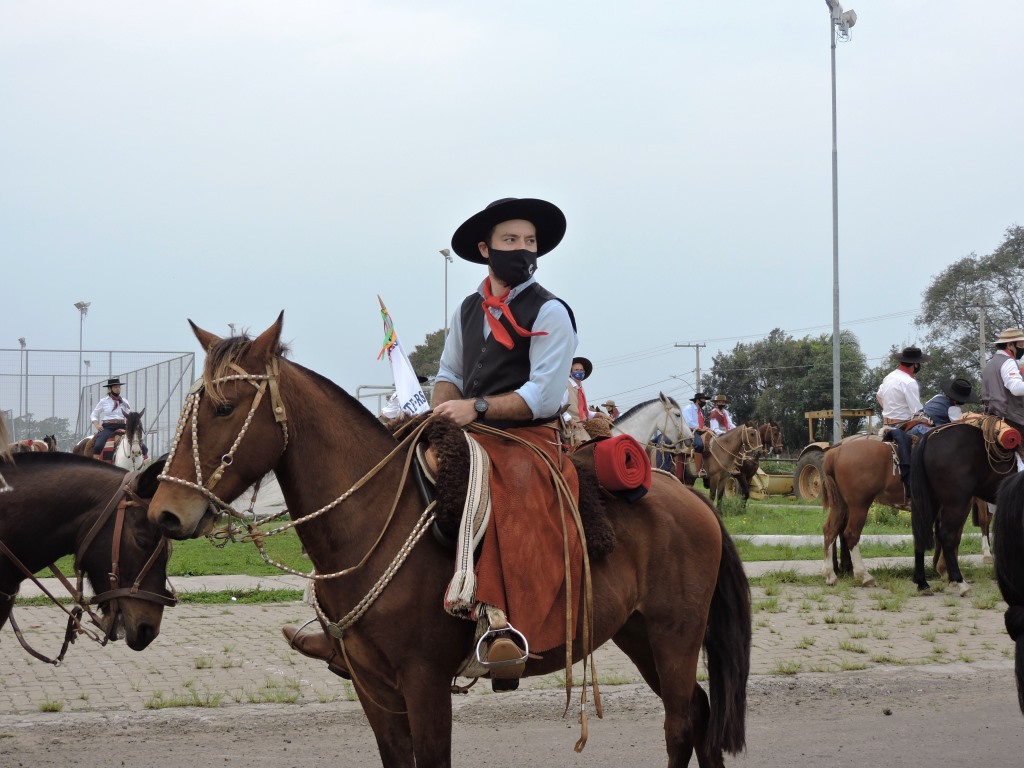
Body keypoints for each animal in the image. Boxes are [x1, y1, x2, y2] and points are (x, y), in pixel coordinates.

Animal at [146, 313, 753, 768]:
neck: (375, 521)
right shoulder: (373, 688)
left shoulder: (424, 683)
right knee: (698, 715)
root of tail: (689, 497)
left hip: (675, 635)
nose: (165, 513)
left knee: (681, 724)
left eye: (225, 407)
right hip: (637, 632)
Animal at [819, 438, 909, 589]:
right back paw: (864, 576)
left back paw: (831, 575)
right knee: (851, 534)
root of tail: (836, 451)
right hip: (859, 505)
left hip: (840, 505)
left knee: (829, 531)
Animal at [913, 421, 1015, 593]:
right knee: (947, 536)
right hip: (957, 502)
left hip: (932, 500)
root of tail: (930, 436)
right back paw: (959, 582)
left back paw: (923, 583)